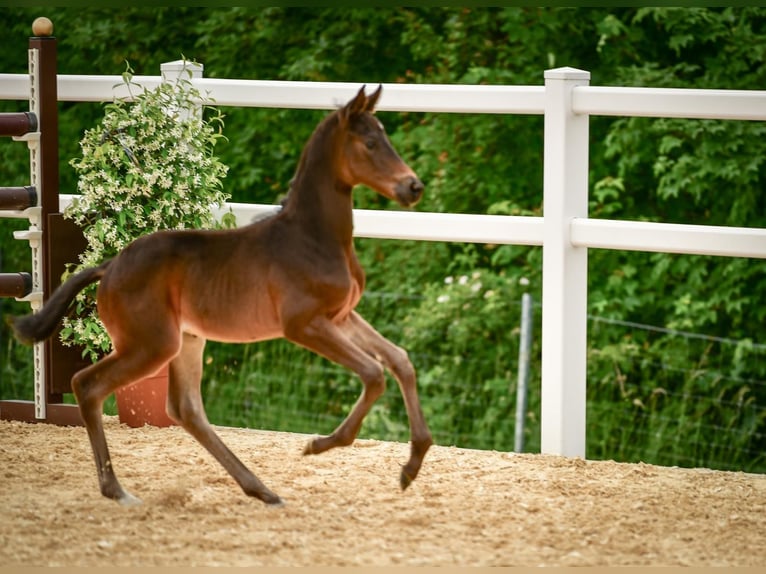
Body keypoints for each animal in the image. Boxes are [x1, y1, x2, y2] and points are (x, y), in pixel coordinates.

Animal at [9, 85, 432, 508]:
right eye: (370, 143)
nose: (413, 187)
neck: (313, 237)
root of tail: (110, 266)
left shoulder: (341, 316)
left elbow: (401, 361)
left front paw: (412, 465)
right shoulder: (304, 325)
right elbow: (374, 373)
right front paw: (320, 444)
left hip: (186, 341)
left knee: (185, 409)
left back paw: (261, 489)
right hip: (151, 345)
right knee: (88, 385)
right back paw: (117, 489)